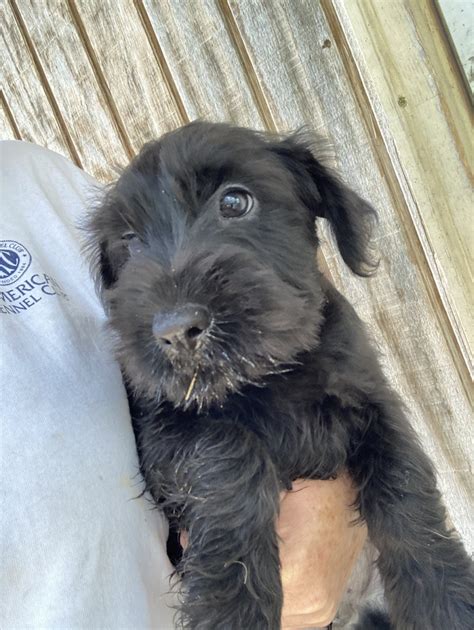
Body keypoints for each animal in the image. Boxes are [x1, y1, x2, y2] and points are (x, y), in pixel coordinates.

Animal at [87, 121, 472, 628]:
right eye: (129, 241)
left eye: (235, 202)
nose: (175, 330)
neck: (267, 375)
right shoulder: (164, 431)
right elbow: (227, 458)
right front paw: (231, 607)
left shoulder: (376, 403)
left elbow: (405, 484)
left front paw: (444, 602)